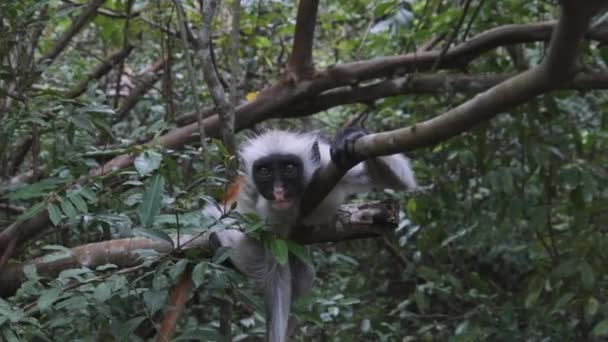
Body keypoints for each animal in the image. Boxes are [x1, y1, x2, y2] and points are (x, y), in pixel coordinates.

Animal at [205, 127, 418, 342]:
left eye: (289, 168)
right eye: (264, 171)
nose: (279, 191)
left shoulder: (326, 167)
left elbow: (391, 179)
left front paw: (353, 135)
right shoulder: (263, 207)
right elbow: (276, 273)